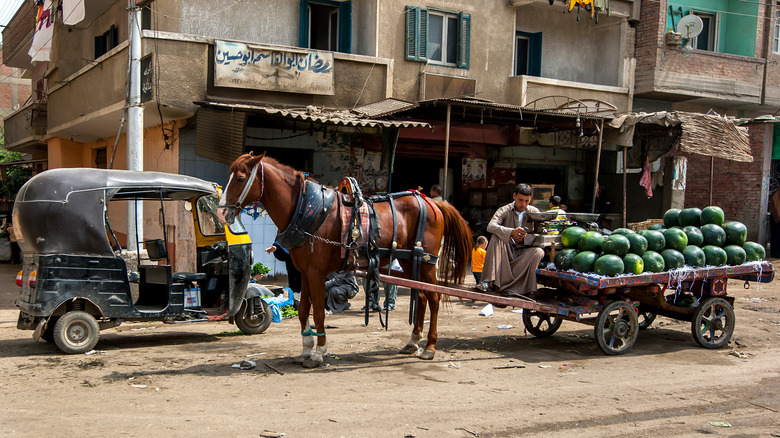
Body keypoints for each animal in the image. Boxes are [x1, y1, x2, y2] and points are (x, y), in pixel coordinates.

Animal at [219, 152, 472, 368]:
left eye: (240, 178)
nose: (222, 212)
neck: (306, 209)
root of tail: (433, 203)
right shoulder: (304, 272)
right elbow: (303, 310)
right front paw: (305, 350)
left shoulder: (317, 273)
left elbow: (318, 312)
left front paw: (318, 353)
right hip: (411, 263)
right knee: (421, 297)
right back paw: (413, 341)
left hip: (427, 262)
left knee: (434, 298)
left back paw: (429, 347)